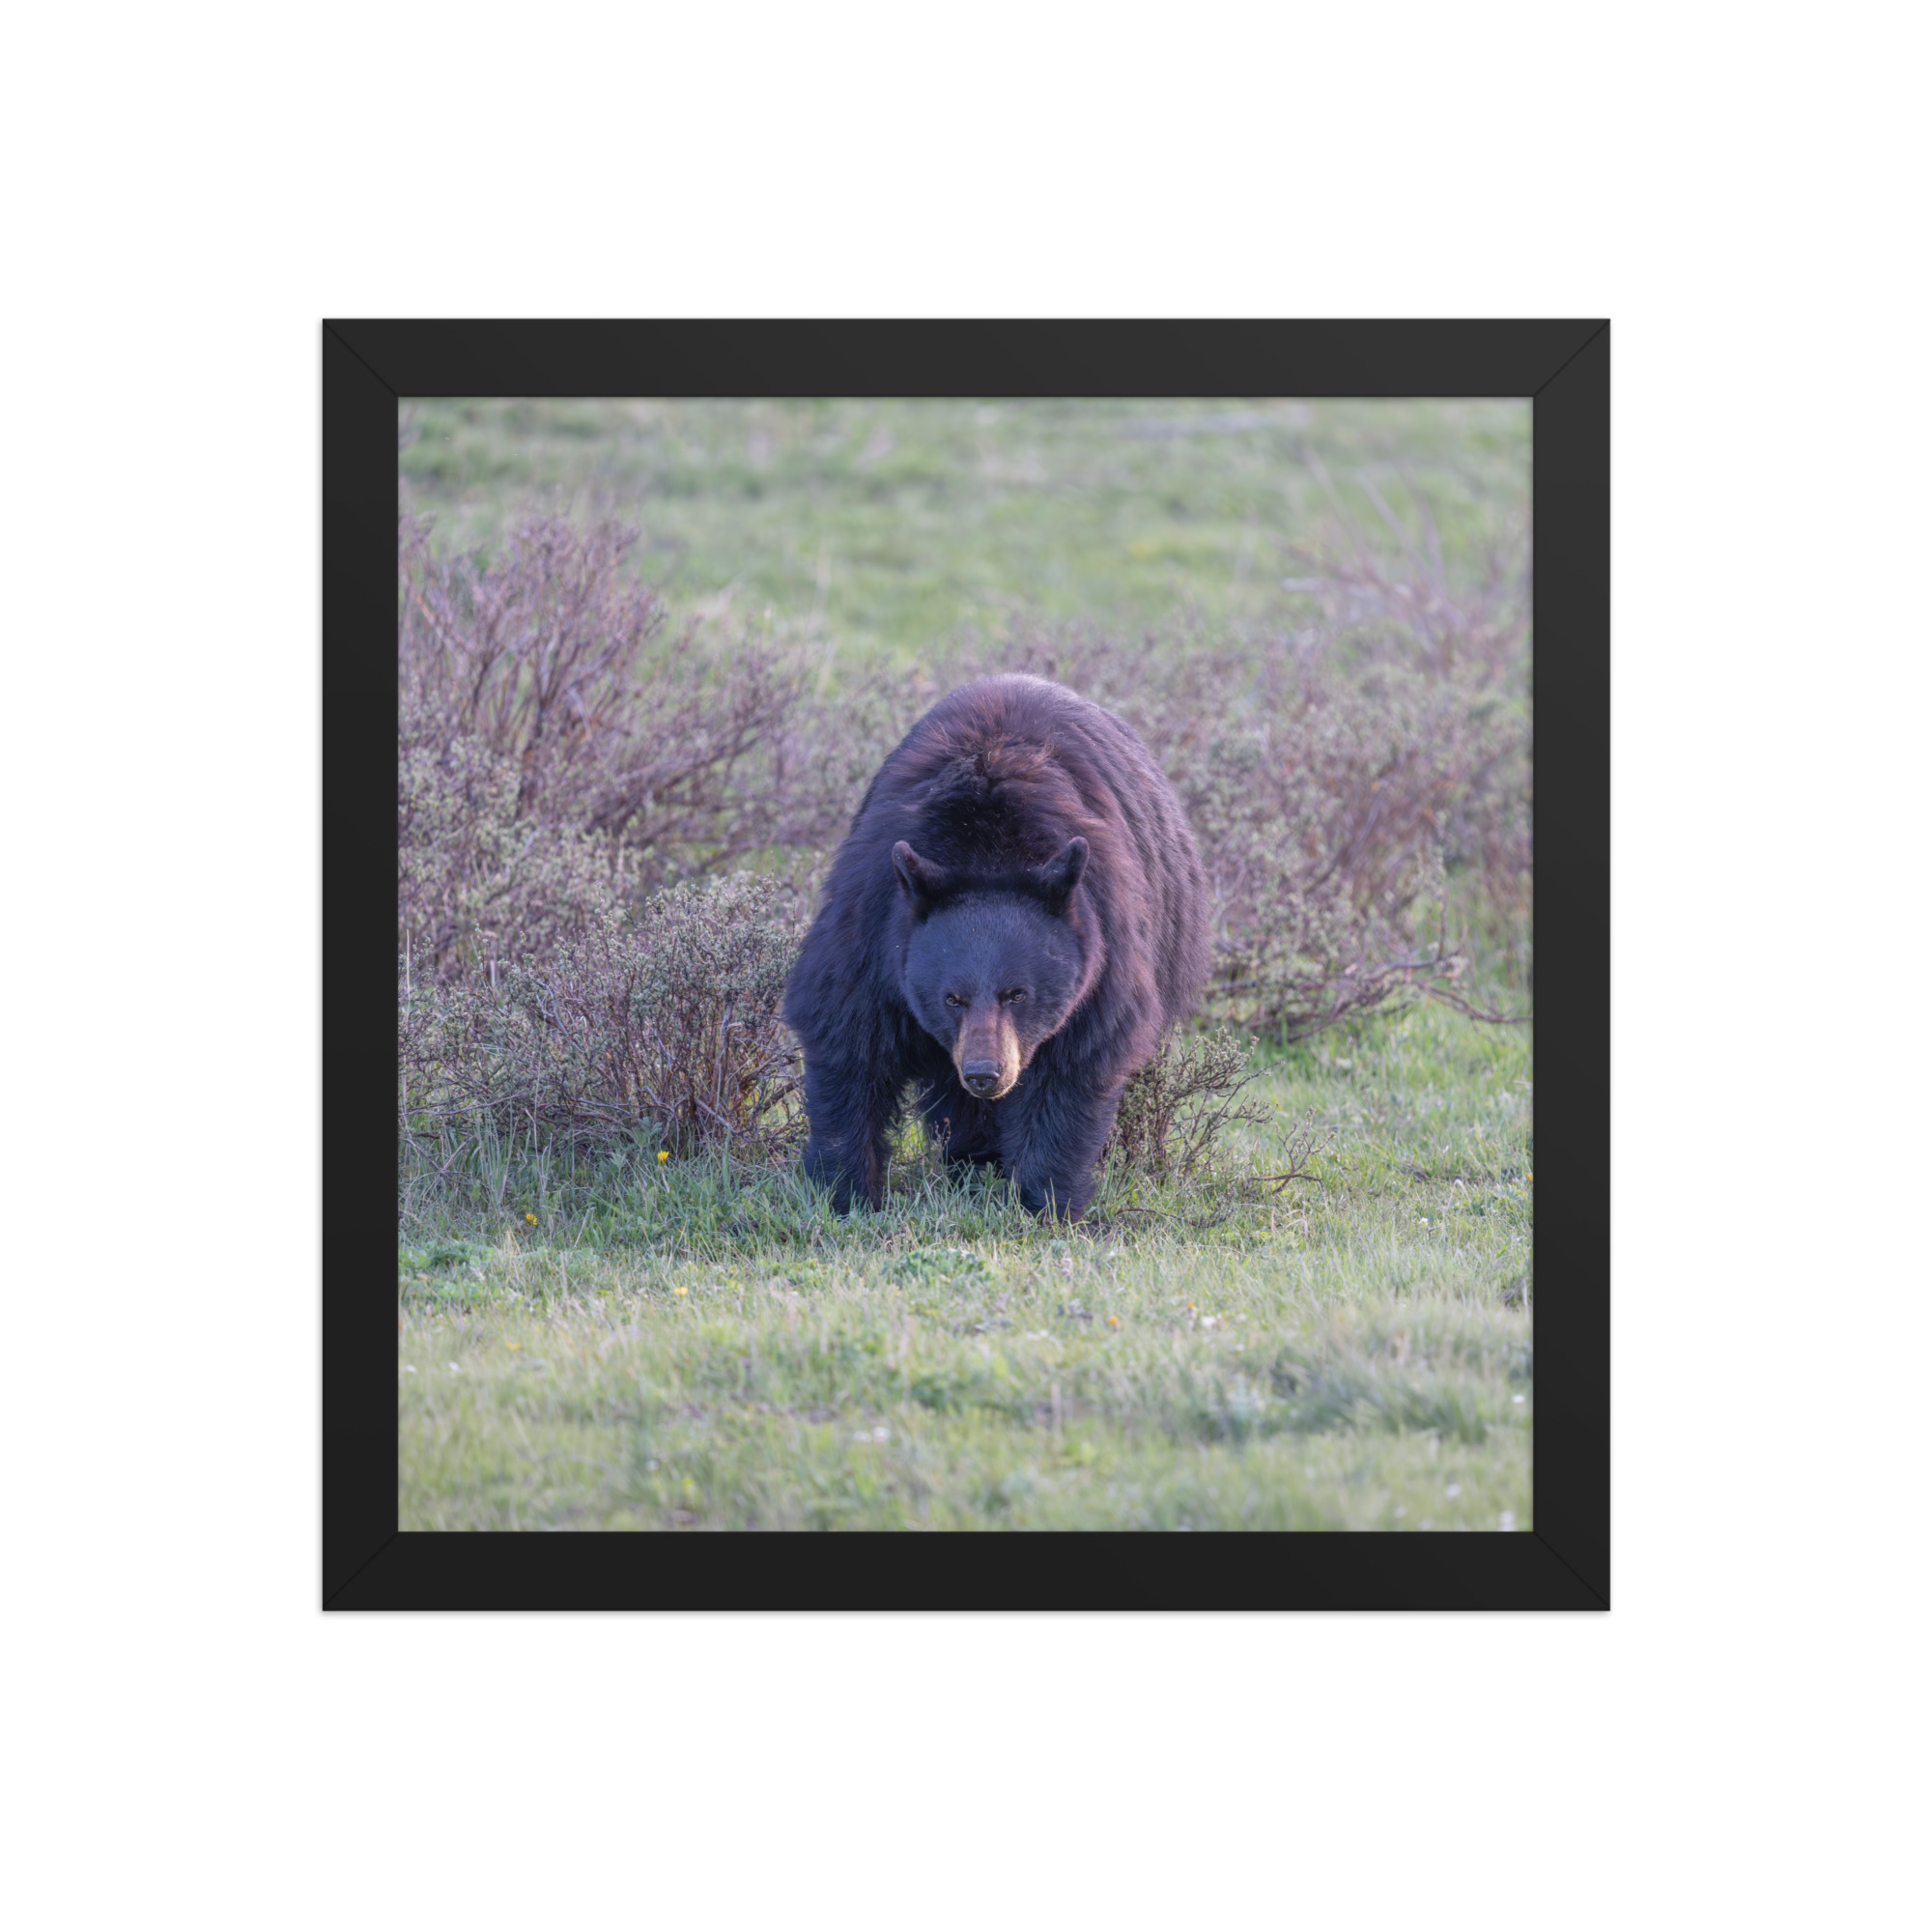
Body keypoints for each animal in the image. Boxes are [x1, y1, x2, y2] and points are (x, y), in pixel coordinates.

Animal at [782, 673, 1210, 1221]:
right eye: (951, 998)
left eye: (1018, 994)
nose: (986, 1074)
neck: (986, 848)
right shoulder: (873, 925)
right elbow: (847, 1040)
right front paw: (846, 1193)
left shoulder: (1104, 946)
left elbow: (1073, 1067)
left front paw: (1049, 1202)